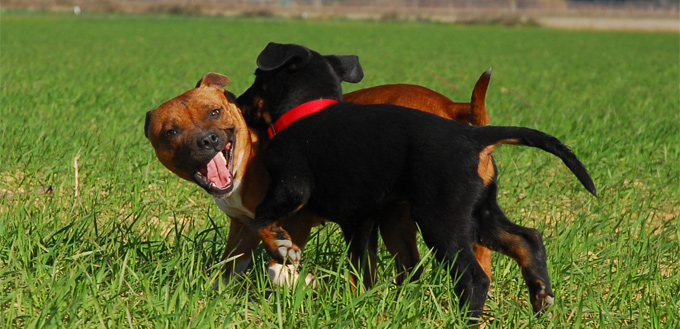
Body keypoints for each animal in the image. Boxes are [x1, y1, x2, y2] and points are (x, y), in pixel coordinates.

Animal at [146, 70, 492, 286]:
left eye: (214, 112)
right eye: (171, 132)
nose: (206, 140)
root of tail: (451, 105)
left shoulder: (295, 216)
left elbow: (278, 259)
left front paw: (296, 277)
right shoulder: (240, 227)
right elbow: (230, 265)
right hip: (399, 219)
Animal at [236, 42, 596, 322]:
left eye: (256, 79)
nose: (237, 103)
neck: (310, 109)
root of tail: (471, 131)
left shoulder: (292, 192)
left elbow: (263, 225)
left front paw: (286, 266)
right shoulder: (359, 220)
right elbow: (361, 270)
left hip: (437, 221)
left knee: (471, 275)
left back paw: (465, 318)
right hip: (475, 214)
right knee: (525, 240)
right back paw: (540, 297)